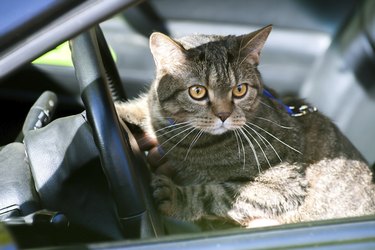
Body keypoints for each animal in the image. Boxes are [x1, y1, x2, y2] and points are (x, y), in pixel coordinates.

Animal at [115, 25, 375, 229]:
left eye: (239, 90)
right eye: (197, 91)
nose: (223, 114)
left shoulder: (283, 186)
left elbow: (217, 194)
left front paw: (176, 197)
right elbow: (146, 108)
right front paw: (121, 110)